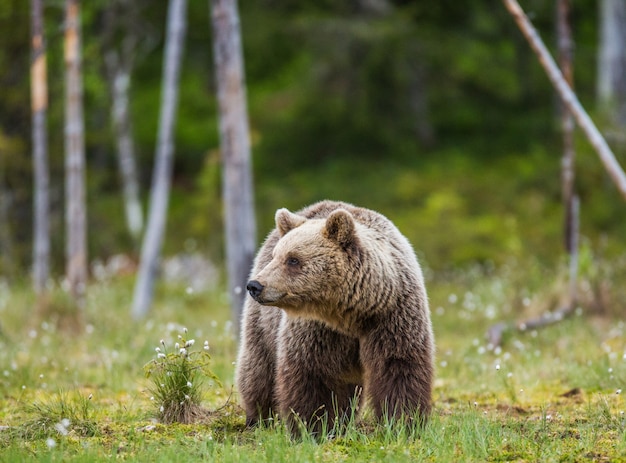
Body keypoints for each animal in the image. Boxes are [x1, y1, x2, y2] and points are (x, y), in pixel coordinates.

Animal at [234, 199, 434, 436]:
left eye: (293, 259)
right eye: (277, 256)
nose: (255, 285)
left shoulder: (393, 315)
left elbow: (399, 365)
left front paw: (403, 422)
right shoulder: (317, 328)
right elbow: (312, 373)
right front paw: (313, 427)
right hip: (263, 323)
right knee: (258, 367)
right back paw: (259, 418)